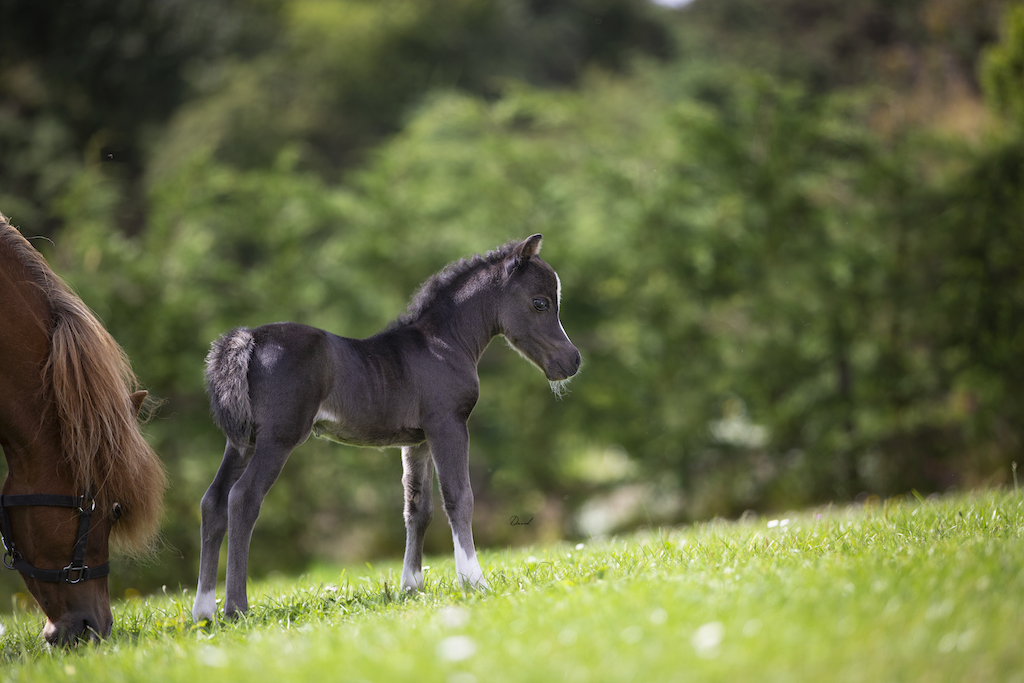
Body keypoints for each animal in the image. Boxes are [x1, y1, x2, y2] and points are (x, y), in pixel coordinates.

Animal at [192, 234, 580, 621]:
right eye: (541, 303)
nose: (572, 361)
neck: (444, 343)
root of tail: (248, 338)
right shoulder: (448, 424)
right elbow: (459, 497)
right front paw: (474, 582)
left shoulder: (417, 441)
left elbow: (418, 508)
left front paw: (412, 588)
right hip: (278, 438)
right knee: (243, 497)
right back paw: (236, 608)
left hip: (242, 441)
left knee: (213, 500)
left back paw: (204, 612)